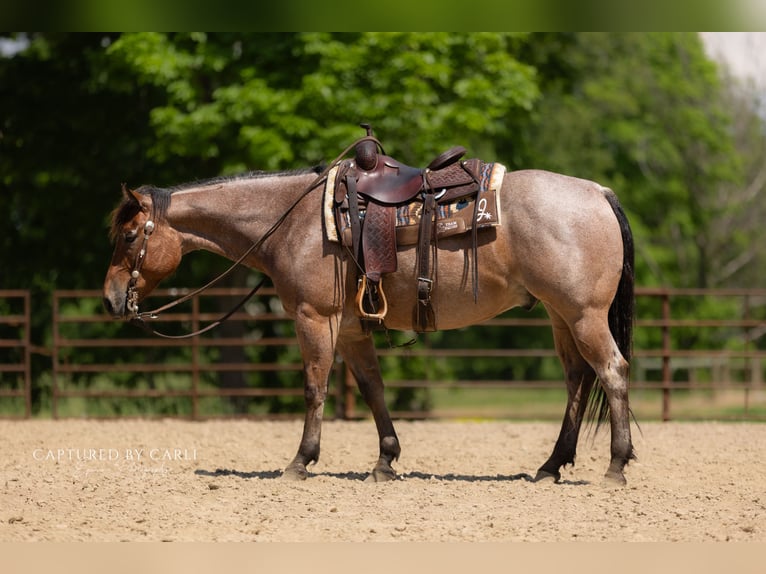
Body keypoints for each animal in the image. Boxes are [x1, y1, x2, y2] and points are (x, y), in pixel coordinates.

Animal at [103, 144, 636, 485]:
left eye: (129, 236)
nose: (110, 299)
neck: (292, 221)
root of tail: (599, 192)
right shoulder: (352, 329)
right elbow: (372, 389)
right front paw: (385, 461)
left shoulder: (314, 317)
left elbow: (314, 387)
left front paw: (300, 462)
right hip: (560, 316)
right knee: (577, 379)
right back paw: (550, 466)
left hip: (584, 315)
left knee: (612, 372)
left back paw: (615, 466)